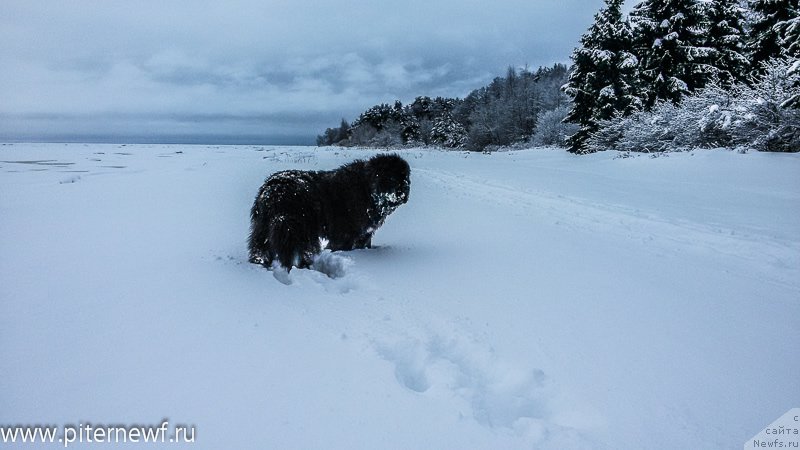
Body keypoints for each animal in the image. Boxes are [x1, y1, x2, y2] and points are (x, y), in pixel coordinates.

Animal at [248, 153, 412, 270]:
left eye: (406, 178)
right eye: (392, 177)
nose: (404, 189)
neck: (367, 190)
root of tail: (275, 191)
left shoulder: (364, 233)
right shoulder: (345, 233)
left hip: (263, 226)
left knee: (260, 247)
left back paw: (260, 263)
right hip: (300, 229)